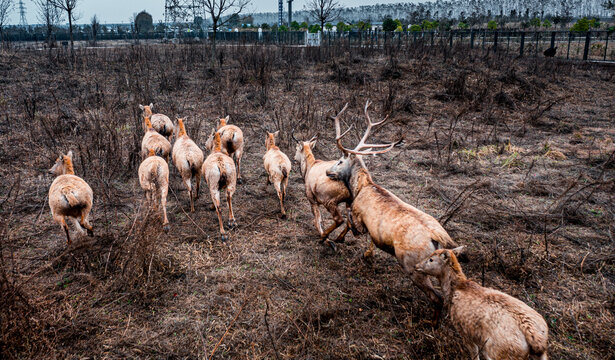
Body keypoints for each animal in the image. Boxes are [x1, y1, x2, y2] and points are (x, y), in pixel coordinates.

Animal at [324, 100, 460, 320]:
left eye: (340, 161)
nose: (328, 172)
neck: (361, 187)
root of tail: (437, 237)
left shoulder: (359, 217)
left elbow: (350, 222)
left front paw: (337, 239)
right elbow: (370, 239)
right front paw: (367, 254)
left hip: (413, 263)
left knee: (437, 298)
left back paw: (430, 322)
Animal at [416, 248, 552, 360]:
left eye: (431, 259)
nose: (416, 265)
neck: (455, 289)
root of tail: (536, 338)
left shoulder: (465, 331)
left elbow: (474, 355)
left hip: (499, 353)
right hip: (541, 354)